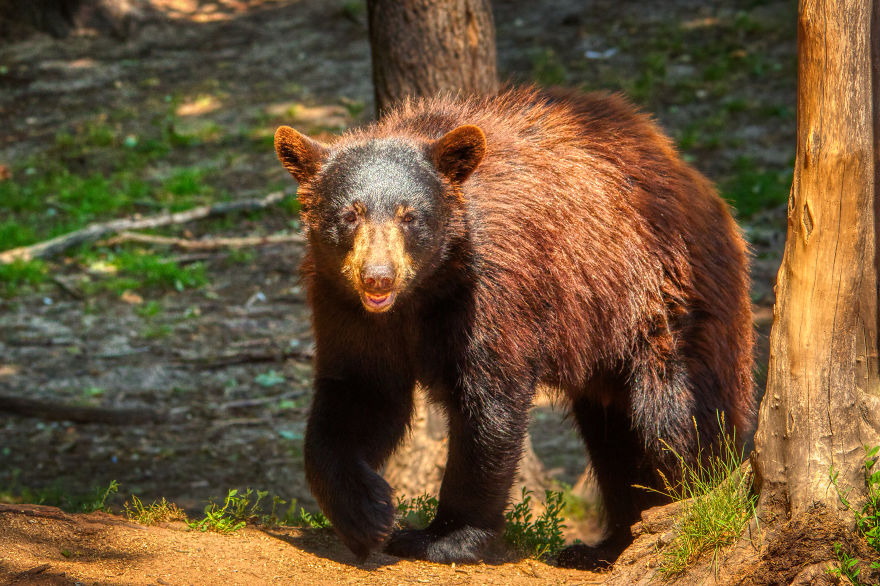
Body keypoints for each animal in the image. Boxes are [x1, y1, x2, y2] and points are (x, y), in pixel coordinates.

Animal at [273, 86, 755, 566]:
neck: (423, 293)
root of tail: (704, 189)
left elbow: (489, 408)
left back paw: (684, 510)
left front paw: (444, 536)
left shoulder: (493, 291)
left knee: (675, 421)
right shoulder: (345, 307)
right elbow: (358, 395)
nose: (378, 277)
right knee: (613, 434)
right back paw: (607, 544)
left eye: (409, 216)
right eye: (349, 214)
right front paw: (366, 515)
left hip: (664, 301)